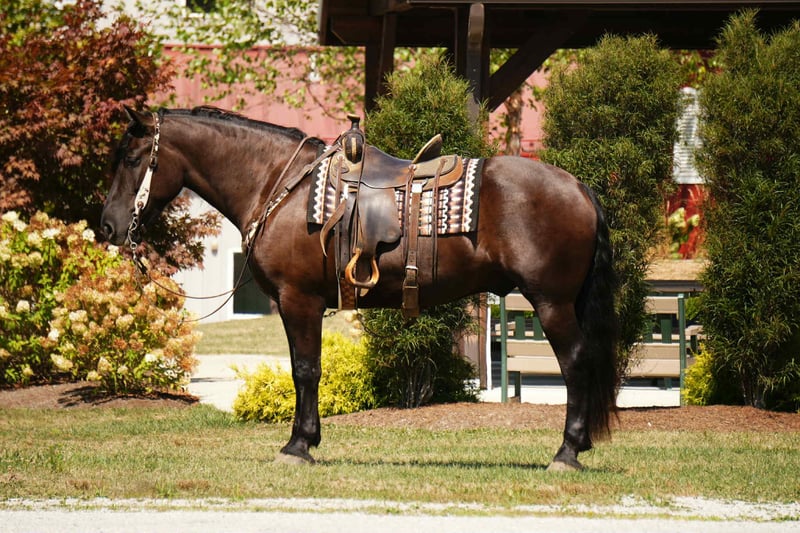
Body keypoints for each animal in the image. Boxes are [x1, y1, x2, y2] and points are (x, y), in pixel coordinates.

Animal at [101, 105, 619, 471]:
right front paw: (307, 439)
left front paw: (298, 444)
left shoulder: (298, 300)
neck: (280, 187)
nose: (107, 226)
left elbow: (305, 370)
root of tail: (579, 188)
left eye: (132, 158)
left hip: (551, 303)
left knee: (576, 363)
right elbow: (305, 369)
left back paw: (567, 452)